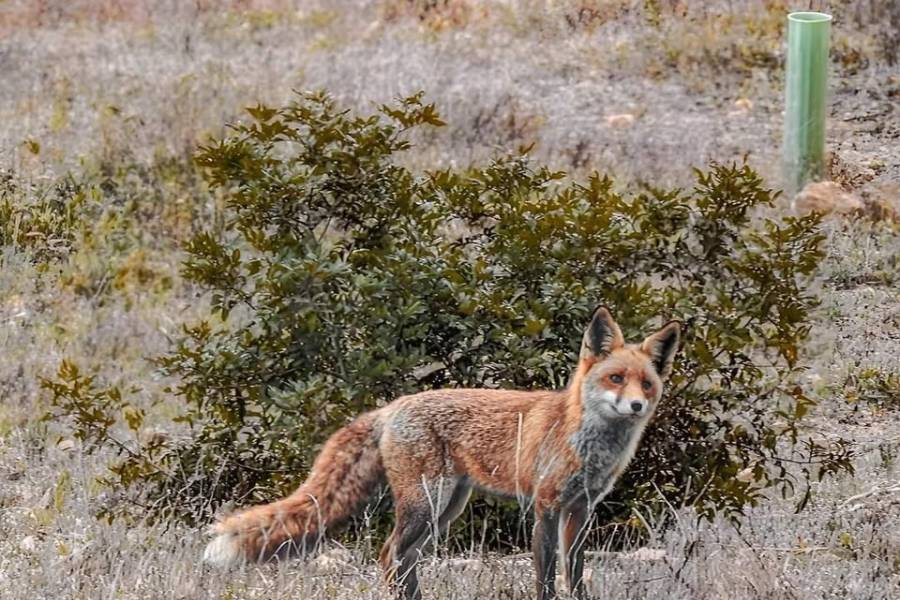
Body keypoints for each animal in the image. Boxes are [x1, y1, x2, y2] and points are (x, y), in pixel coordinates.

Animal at [206, 308, 684, 596]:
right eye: (616, 378)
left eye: (646, 384)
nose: (637, 406)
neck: (586, 443)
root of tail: (392, 407)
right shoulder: (545, 505)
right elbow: (546, 577)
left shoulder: (582, 508)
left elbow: (577, 574)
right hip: (427, 502)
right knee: (389, 555)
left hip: (445, 509)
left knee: (406, 560)